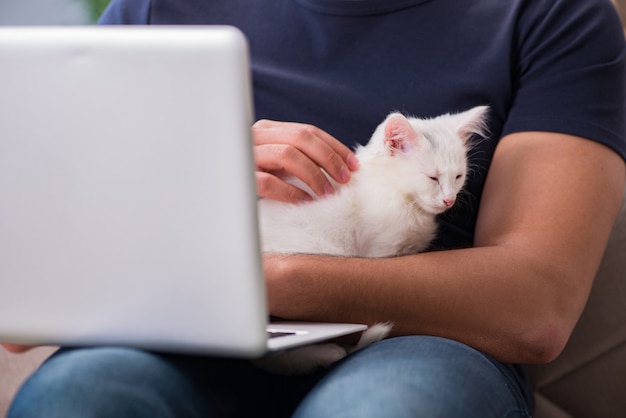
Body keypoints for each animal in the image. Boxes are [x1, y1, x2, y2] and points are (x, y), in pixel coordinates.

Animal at [254, 106, 488, 374]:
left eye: (458, 176)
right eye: (433, 178)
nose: (449, 200)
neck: (403, 199)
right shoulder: (379, 252)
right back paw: (327, 352)